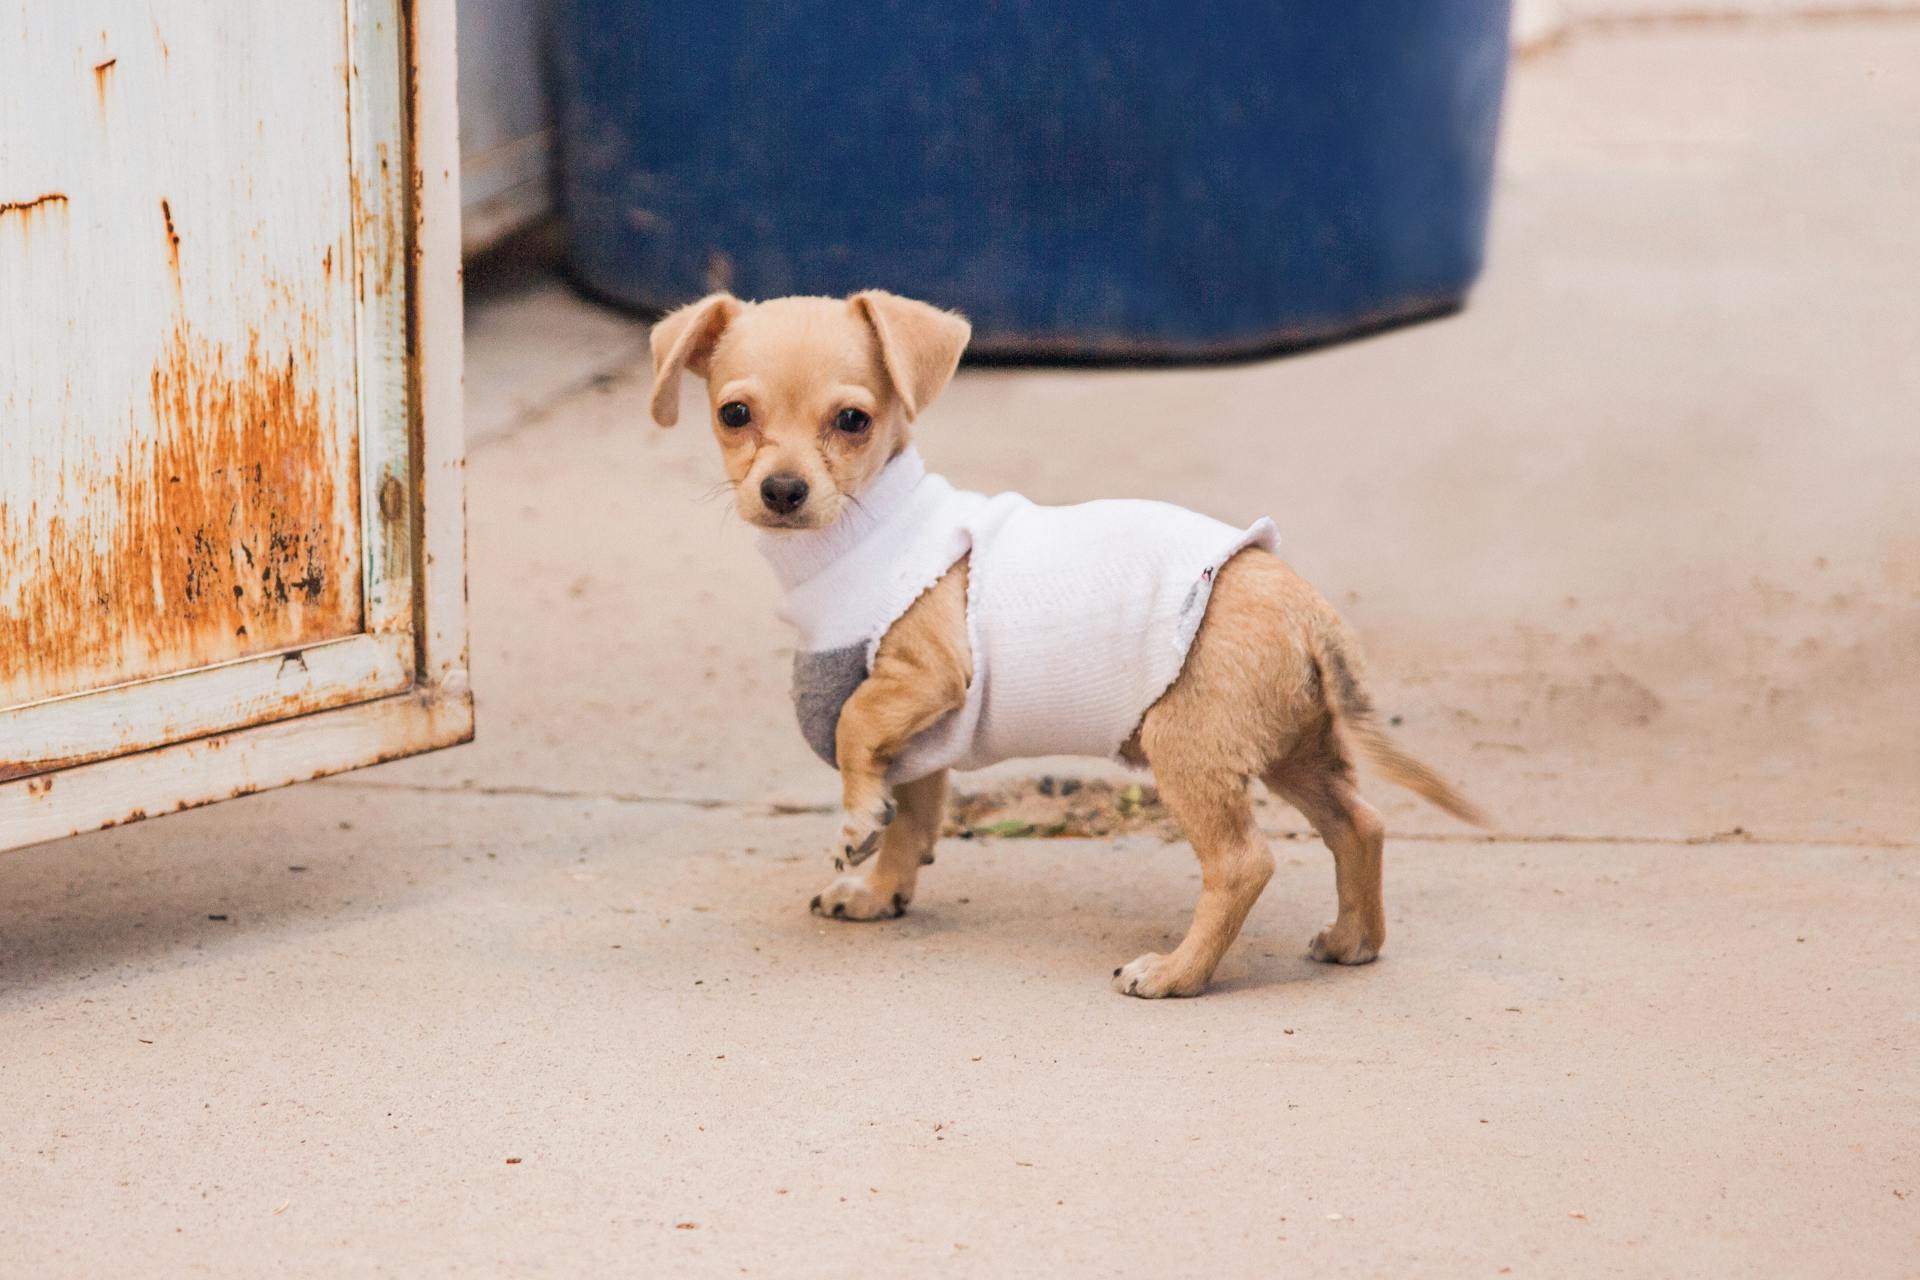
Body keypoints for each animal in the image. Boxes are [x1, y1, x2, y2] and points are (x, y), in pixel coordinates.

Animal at [648, 293, 1482, 997]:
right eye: (734, 413)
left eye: (852, 420)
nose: (782, 491)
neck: (861, 536)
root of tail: (1309, 608)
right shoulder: (922, 737)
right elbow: (913, 815)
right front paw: (882, 889)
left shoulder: (925, 679)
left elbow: (856, 732)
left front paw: (856, 826)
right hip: (1289, 749)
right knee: (1359, 823)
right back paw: (1353, 940)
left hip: (1190, 749)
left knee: (1244, 863)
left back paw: (1178, 973)